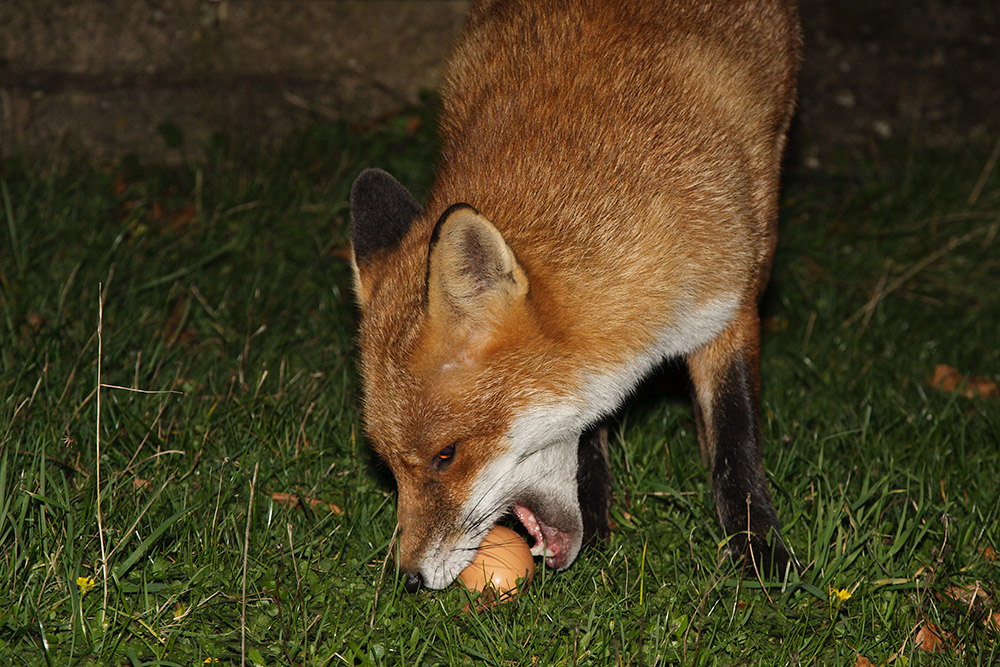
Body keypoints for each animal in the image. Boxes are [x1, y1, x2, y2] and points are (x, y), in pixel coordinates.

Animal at [348, 0, 802, 592]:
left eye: (446, 455)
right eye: (390, 466)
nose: (410, 578)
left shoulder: (731, 300)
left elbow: (734, 438)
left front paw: (761, 553)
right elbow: (589, 432)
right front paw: (597, 516)